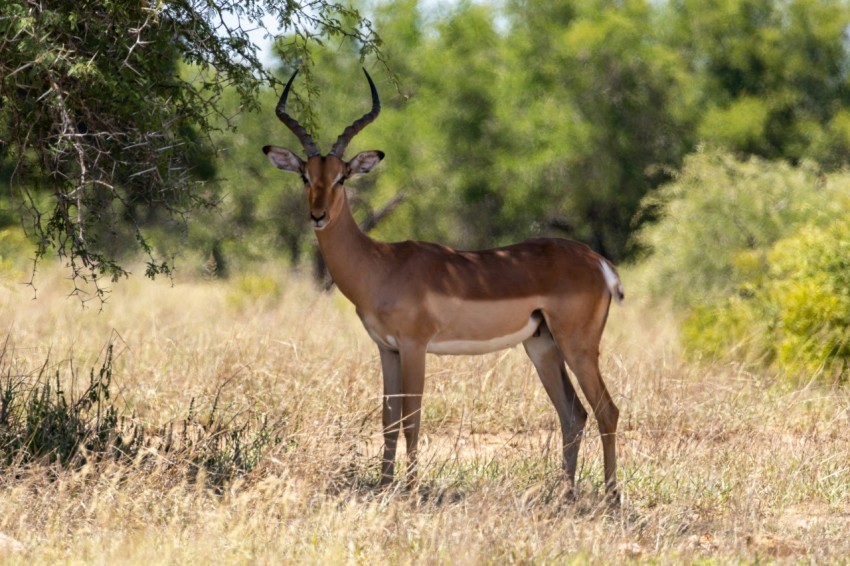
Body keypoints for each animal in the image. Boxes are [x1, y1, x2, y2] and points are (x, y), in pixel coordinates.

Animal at [264, 67, 624, 502]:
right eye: (305, 176)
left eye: (341, 178)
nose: (317, 216)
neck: (381, 265)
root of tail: (598, 261)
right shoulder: (387, 350)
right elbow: (387, 418)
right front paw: (384, 486)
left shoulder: (415, 347)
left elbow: (411, 419)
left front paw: (411, 488)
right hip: (542, 346)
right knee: (573, 413)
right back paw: (565, 495)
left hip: (578, 346)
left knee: (606, 410)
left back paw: (611, 499)